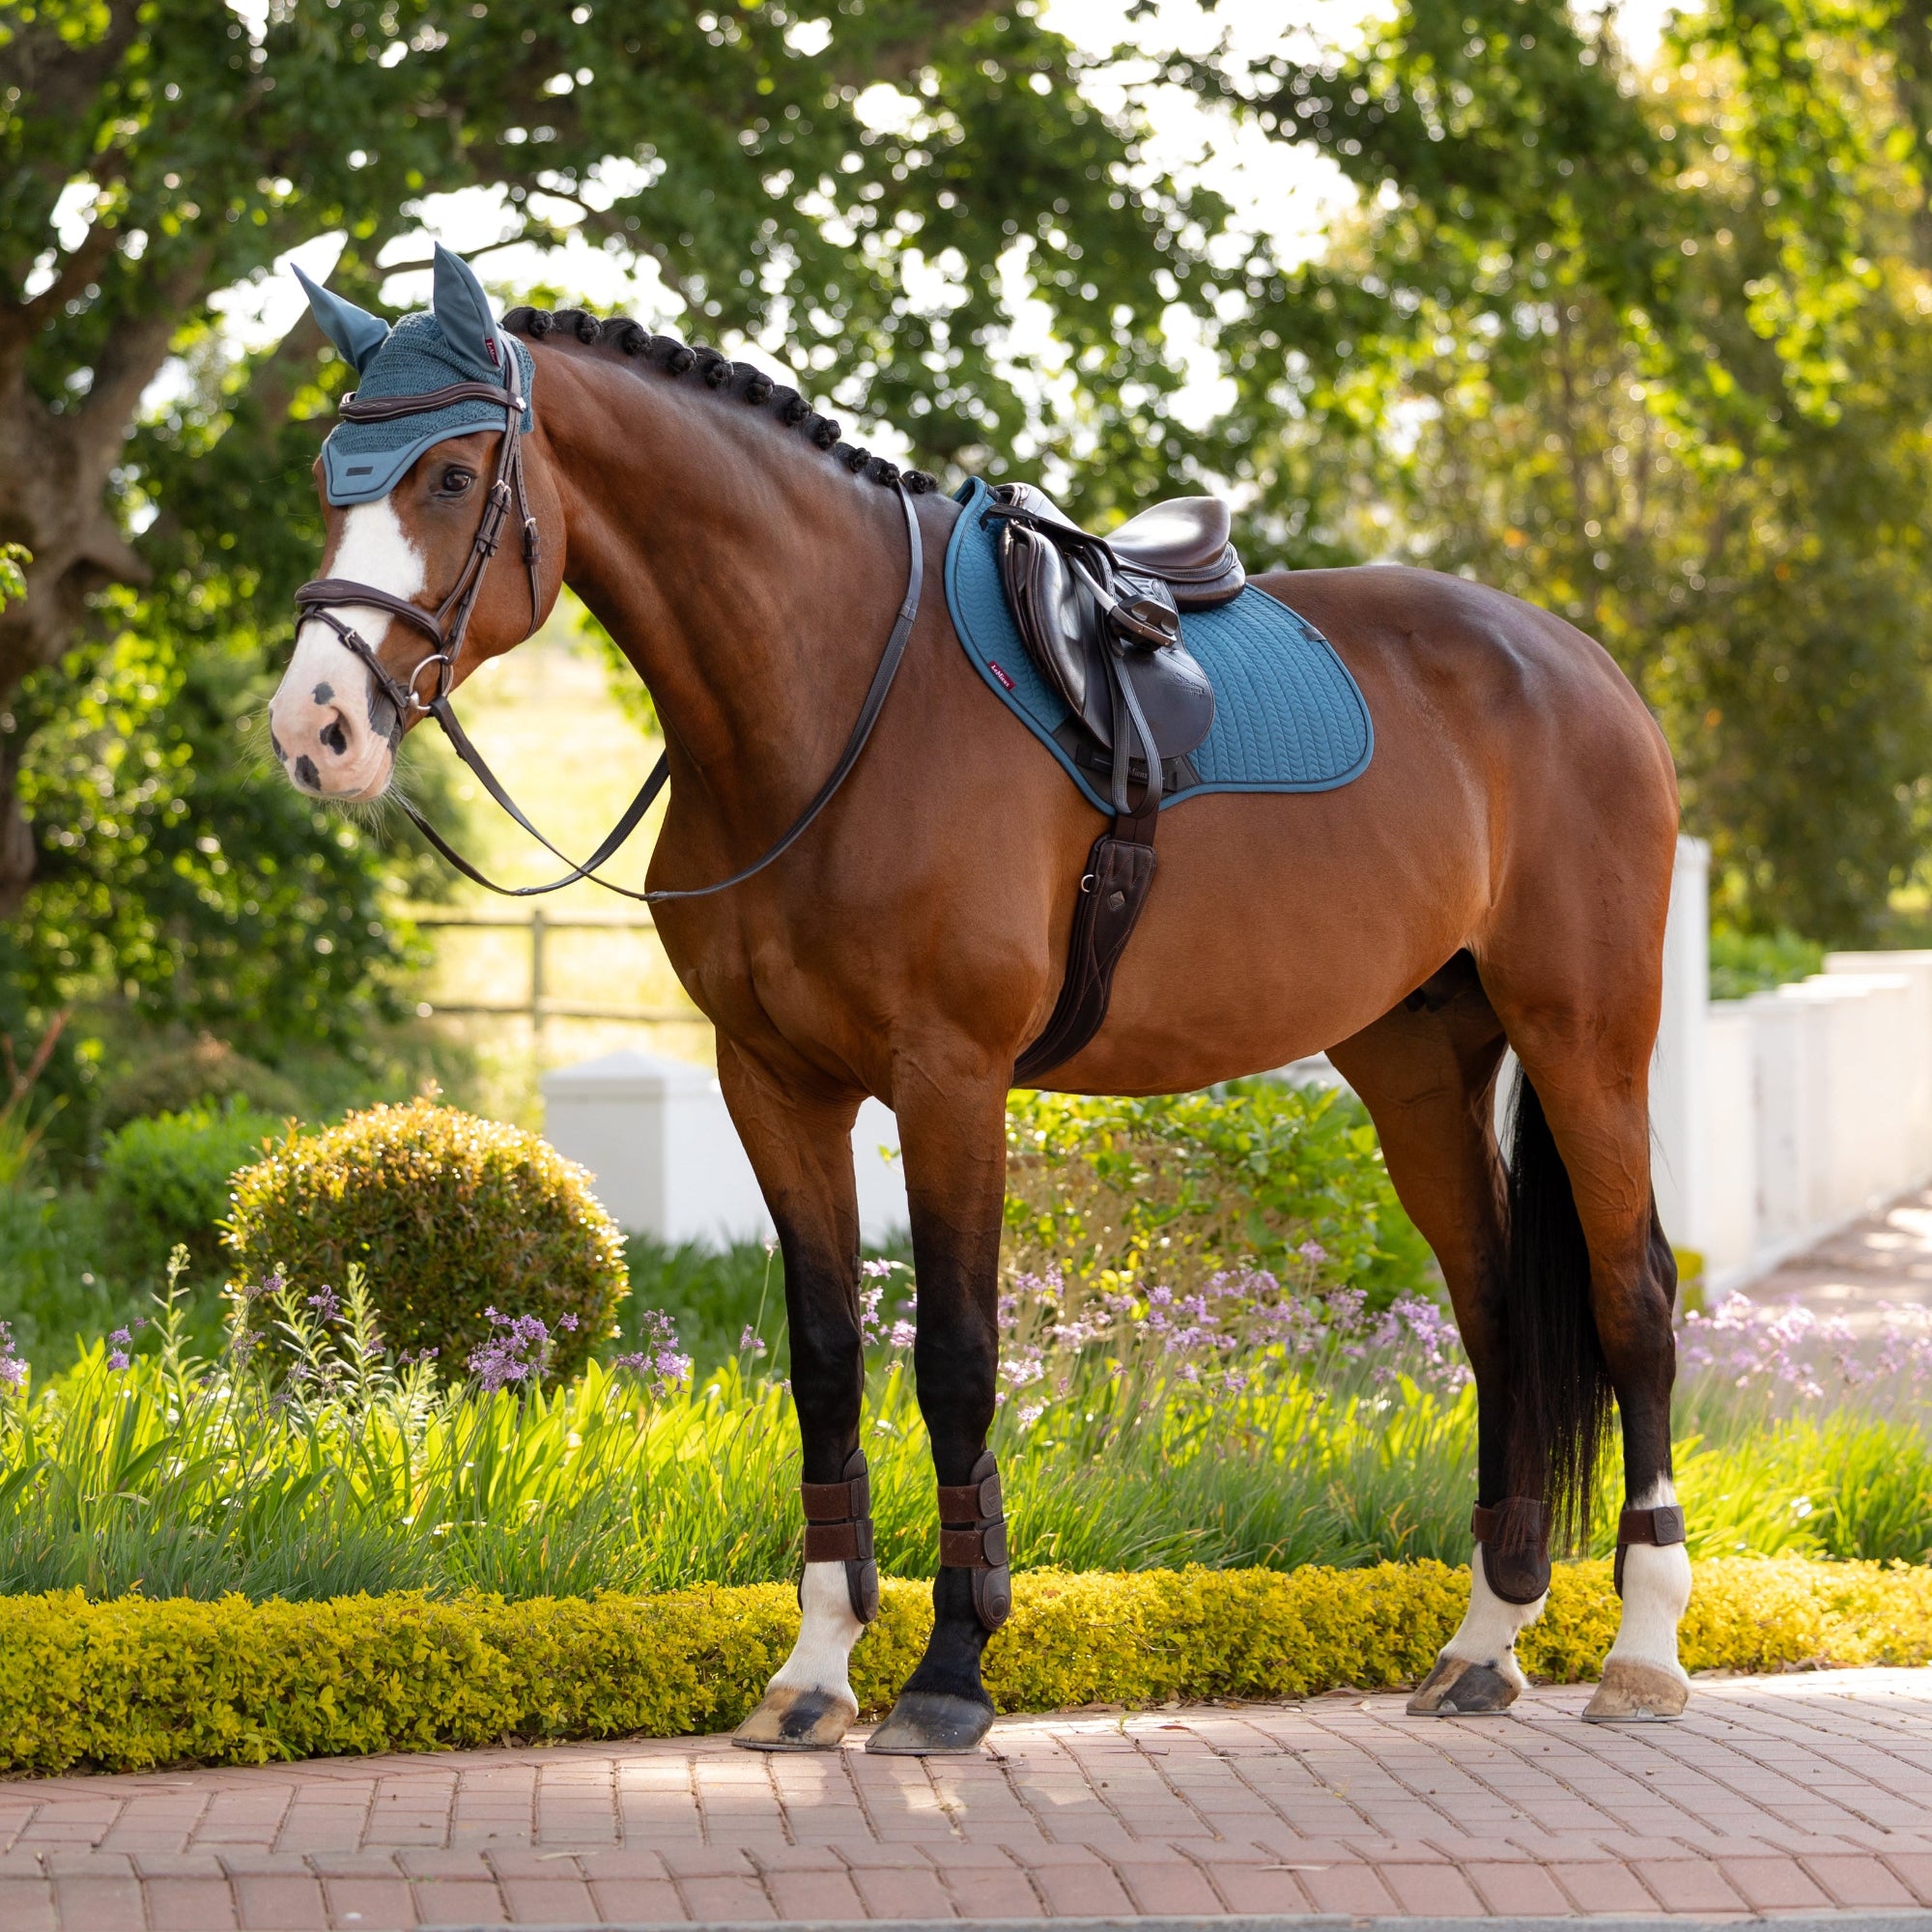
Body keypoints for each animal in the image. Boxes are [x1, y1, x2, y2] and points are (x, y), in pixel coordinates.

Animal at [267, 249, 1691, 1754]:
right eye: (329, 477)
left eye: (451, 477)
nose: (317, 729)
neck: (837, 697)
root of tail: (1581, 666)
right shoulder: (772, 1081)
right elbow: (826, 1358)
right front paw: (814, 1668)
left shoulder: (949, 1078)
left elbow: (954, 1356)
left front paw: (950, 1669)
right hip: (1416, 1066)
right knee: (1496, 1314)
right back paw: (1484, 1639)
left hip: (1587, 1040)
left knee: (1631, 1300)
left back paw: (1642, 1648)